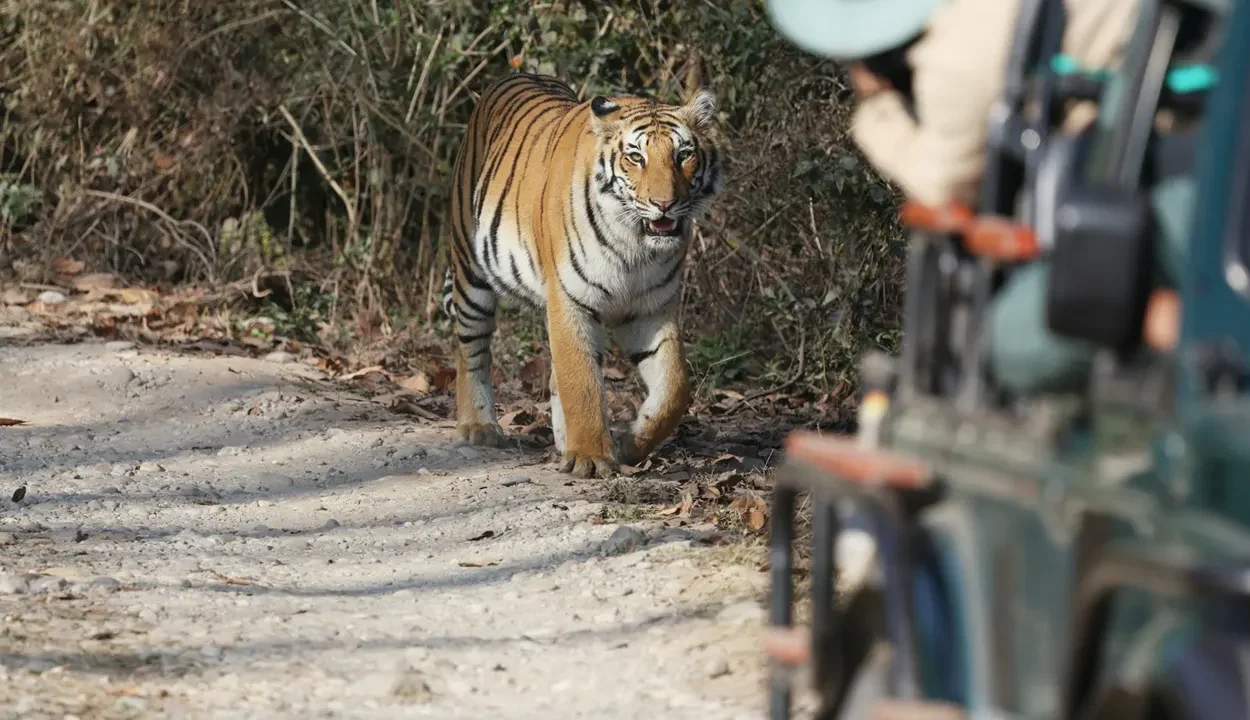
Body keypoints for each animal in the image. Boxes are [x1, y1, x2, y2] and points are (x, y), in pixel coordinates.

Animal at [441, 72, 724, 479]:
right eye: (636, 157)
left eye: (683, 154)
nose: (665, 204)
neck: (635, 245)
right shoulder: (570, 299)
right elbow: (581, 380)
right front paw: (590, 456)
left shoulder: (650, 309)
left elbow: (674, 388)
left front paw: (630, 443)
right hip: (470, 271)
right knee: (471, 351)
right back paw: (479, 427)